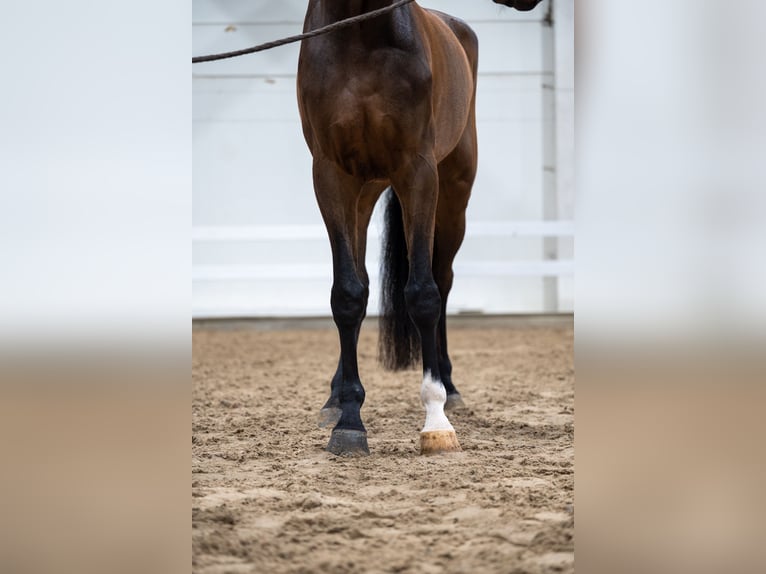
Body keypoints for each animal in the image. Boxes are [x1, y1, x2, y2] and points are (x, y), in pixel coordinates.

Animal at [296, 0, 544, 460]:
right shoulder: (331, 175)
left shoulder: (419, 171)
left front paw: (436, 419)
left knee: (442, 282)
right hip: (364, 194)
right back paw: (335, 396)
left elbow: (424, 295)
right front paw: (348, 419)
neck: (362, 36)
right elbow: (347, 295)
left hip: (453, 194)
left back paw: (450, 386)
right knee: (361, 280)